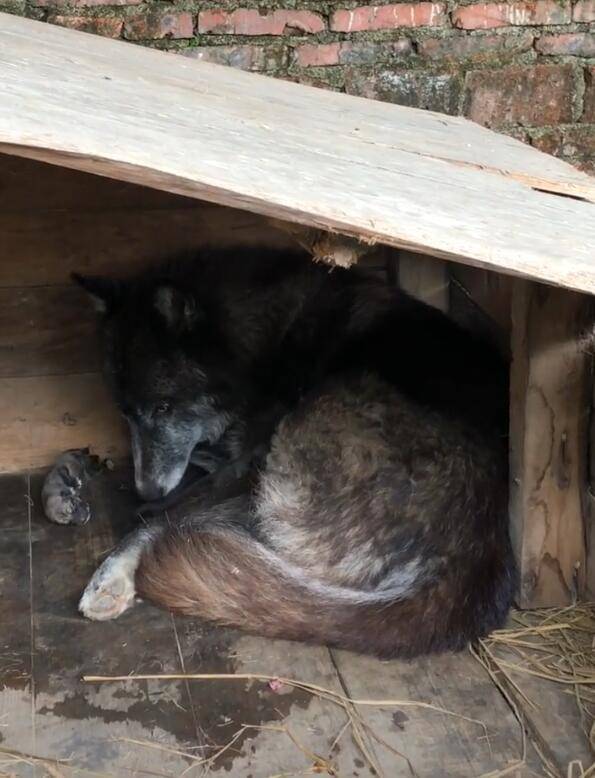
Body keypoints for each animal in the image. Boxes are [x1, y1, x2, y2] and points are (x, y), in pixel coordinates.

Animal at [74, 247, 516, 656]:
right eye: (125, 413)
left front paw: (112, 570)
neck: (262, 344)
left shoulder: (251, 461)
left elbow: (161, 515)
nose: (145, 489)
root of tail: (473, 557)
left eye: (164, 408)